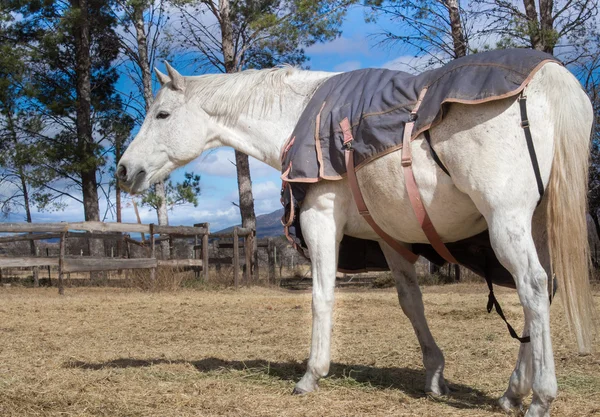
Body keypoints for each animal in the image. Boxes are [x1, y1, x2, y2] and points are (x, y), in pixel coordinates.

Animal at [116, 60, 596, 414]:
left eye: (162, 115)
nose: (122, 170)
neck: (300, 115)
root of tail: (549, 76)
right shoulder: (390, 237)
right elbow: (410, 302)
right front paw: (434, 374)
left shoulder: (321, 221)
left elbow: (321, 296)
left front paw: (311, 374)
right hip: (535, 224)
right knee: (543, 289)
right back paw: (513, 391)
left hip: (505, 220)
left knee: (533, 286)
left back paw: (541, 398)